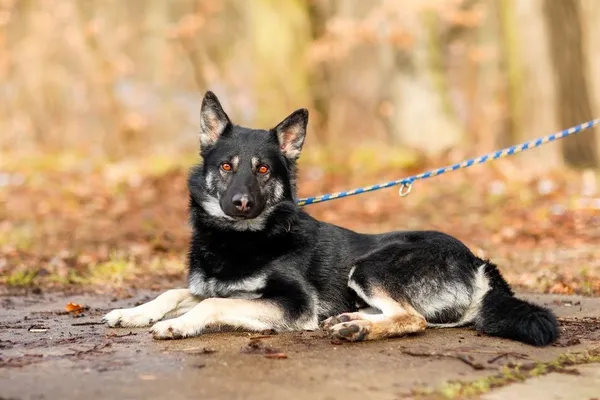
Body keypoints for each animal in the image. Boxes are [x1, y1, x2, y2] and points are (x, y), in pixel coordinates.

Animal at [102, 92, 556, 346]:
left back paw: (359, 330)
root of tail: (477, 261)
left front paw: (178, 325)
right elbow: (175, 292)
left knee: (413, 319)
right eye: (227, 166)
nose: (242, 204)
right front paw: (134, 312)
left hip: (372, 266)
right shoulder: (219, 287)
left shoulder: (293, 303)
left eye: (263, 169)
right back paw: (351, 320)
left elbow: (213, 302)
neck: (244, 237)